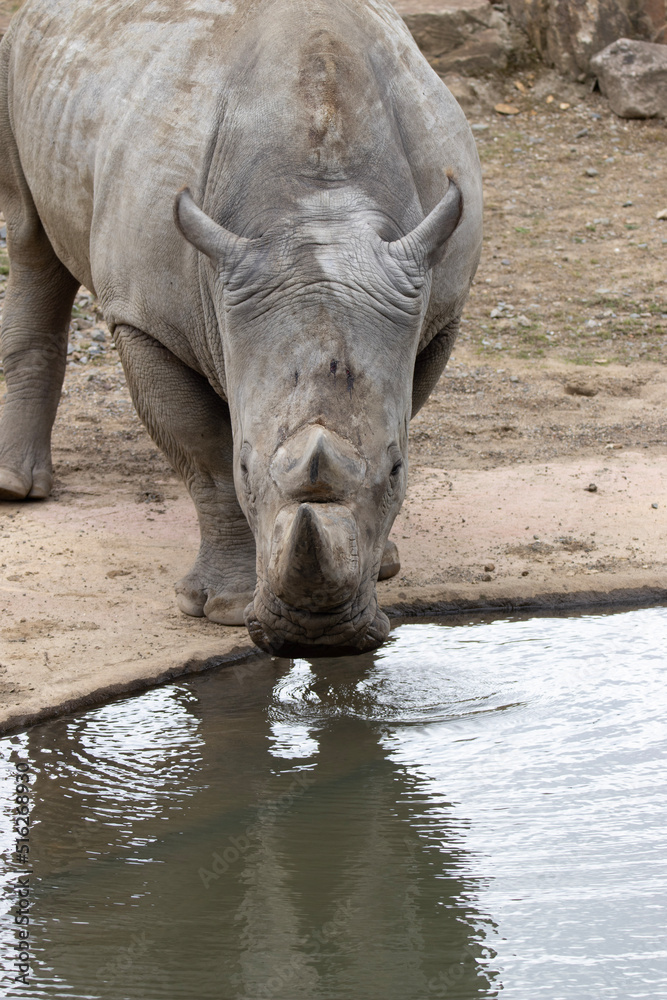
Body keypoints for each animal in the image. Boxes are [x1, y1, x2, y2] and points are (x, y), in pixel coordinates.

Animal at [0, 0, 482, 655]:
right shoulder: (144, 321)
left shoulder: (435, 308)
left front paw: (383, 564)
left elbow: (402, 407)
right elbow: (205, 454)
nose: (316, 636)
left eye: (397, 472)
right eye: (247, 468)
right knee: (29, 236)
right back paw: (16, 490)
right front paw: (223, 608)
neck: (316, 208)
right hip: (15, 55)